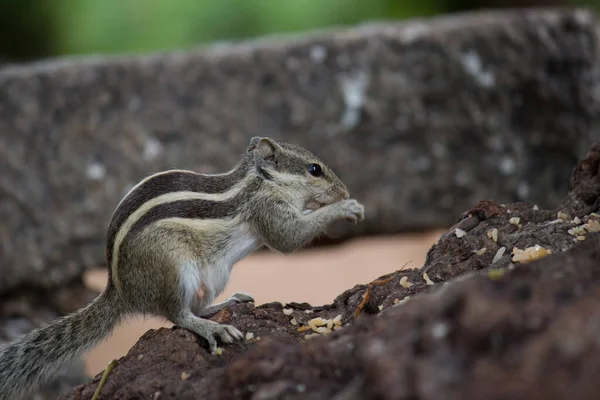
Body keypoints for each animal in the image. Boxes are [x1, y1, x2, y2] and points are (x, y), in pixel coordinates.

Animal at [0, 137, 366, 400]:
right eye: (315, 169)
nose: (345, 190)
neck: (258, 182)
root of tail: (121, 290)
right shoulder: (268, 209)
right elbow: (288, 238)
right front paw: (345, 208)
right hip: (174, 269)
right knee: (178, 314)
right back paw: (211, 328)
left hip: (214, 274)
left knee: (198, 305)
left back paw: (226, 305)